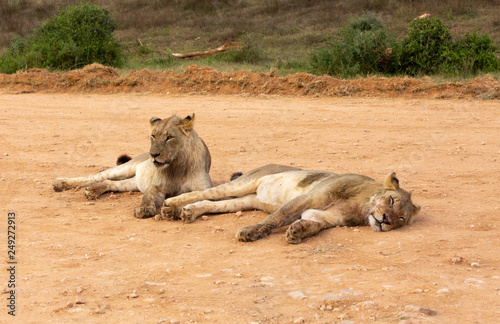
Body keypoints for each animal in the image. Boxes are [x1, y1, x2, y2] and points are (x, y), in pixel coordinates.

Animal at [51, 113, 212, 218]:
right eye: (153, 136)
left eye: (169, 137)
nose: (153, 154)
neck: (177, 165)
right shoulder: (156, 186)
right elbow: (147, 197)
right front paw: (143, 209)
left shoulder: (203, 188)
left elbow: (192, 196)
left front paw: (174, 208)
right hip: (126, 167)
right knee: (95, 176)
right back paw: (61, 183)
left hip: (133, 183)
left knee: (110, 183)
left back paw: (92, 191)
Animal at [160, 165, 418, 243]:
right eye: (391, 200)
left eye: (401, 219)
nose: (386, 221)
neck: (362, 207)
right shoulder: (311, 197)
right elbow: (277, 218)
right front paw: (250, 232)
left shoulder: (324, 216)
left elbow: (312, 225)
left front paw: (298, 231)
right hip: (242, 184)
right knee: (205, 192)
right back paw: (170, 206)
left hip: (245, 200)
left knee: (209, 202)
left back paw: (187, 213)